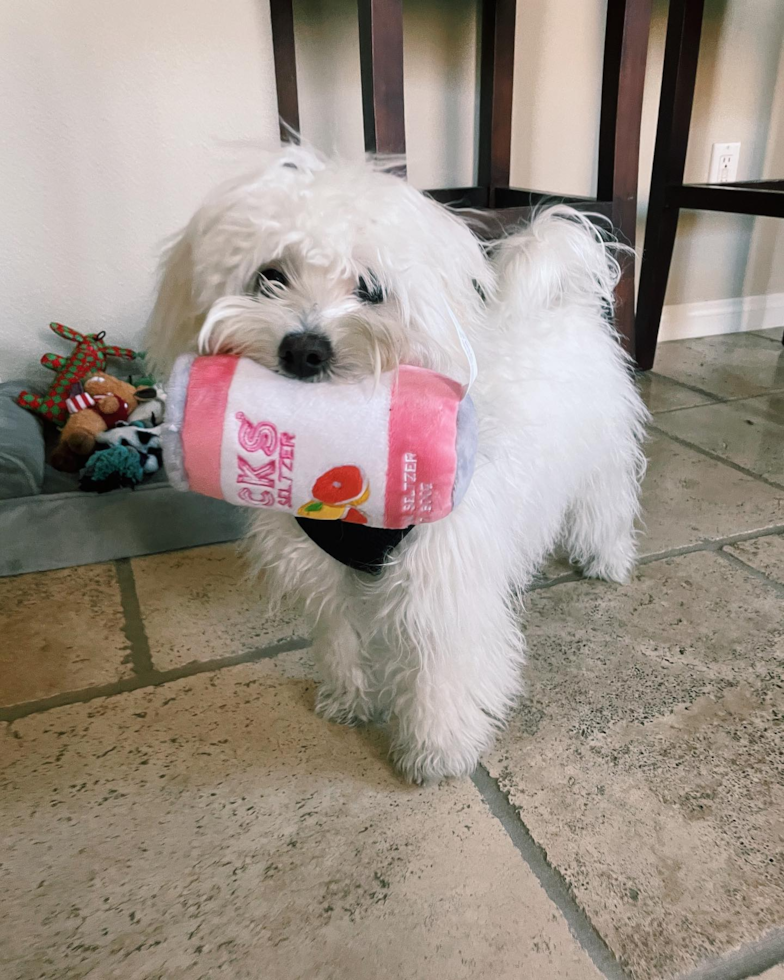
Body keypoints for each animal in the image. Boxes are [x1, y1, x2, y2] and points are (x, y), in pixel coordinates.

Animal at [144, 145, 648, 784]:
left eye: (370, 288)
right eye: (269, 276)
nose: (304, 349)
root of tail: (565, 297)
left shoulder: (442, 575)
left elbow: (440, 669)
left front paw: (436, 751)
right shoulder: (321, 570)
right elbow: (339, 637)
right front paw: (348, 699)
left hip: (600, 457)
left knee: (606, 507)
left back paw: (606, 561)